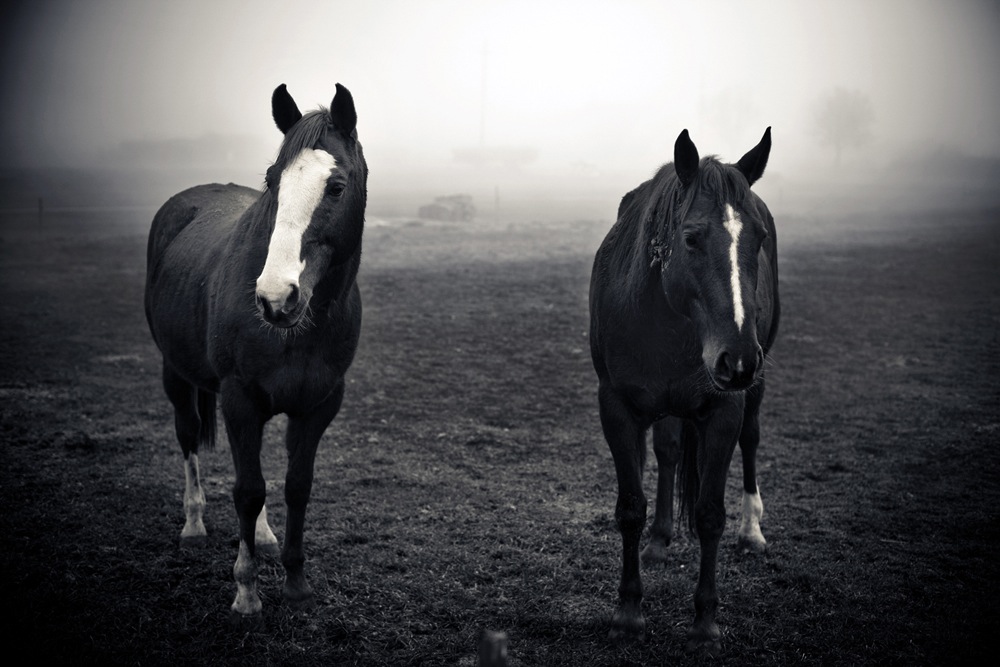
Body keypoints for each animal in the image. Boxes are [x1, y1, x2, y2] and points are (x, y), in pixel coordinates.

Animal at [144, 83, 367, 619]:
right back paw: (194, 525)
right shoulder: (239, 399)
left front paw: (296, 582)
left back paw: (263, 537)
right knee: (188, 438)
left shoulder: (319, 405)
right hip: (175, 375)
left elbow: (295, 486)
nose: (274, 297)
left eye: (336, 187)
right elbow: (247, 490)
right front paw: (246, 593)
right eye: (272, 181)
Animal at [589, 127, 778, 653]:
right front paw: (628, 613)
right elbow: (631, 508)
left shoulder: (724, 409)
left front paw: (705, 621)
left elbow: (710, 513)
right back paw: (658, 540)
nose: (738, 359)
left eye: (758, 238)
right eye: (691, 238)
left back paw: (751, 530)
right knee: (670, 450)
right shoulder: (616, 407)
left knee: (751, 440)